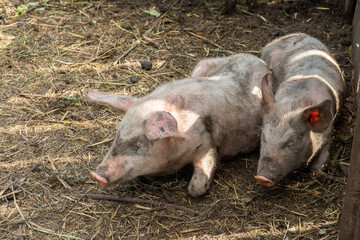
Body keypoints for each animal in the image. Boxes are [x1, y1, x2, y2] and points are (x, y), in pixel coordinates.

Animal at [85, 54, 270, 197]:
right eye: (117, 135)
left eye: (139, 142)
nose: (95, 175)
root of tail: (258, 59)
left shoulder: (206, 142)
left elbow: (196, 187)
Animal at [255, 32, 344, 187]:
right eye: (263, 137)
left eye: (291, 141)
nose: (261, 178)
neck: (295, 103)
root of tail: (292, 35)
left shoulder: (329, 132)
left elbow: (321, 161)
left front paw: (316, 172)